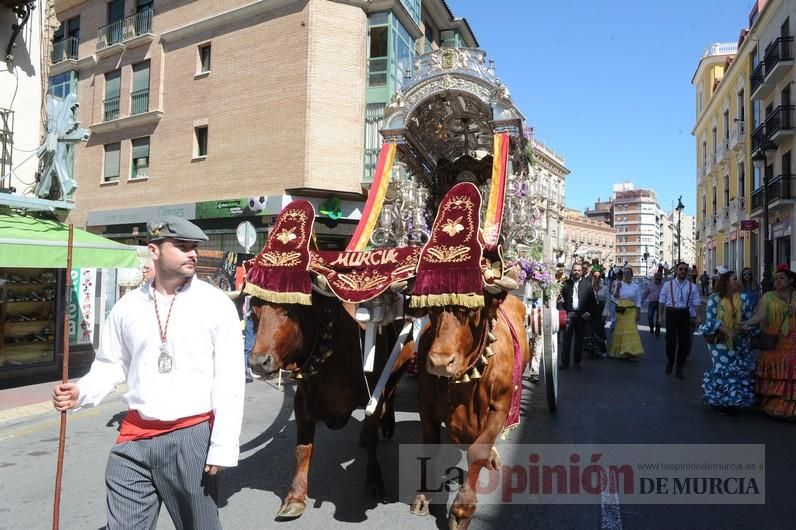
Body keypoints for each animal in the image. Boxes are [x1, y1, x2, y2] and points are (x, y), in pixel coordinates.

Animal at [247, 292, 410, 520]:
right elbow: (303, 449)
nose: (258, 362)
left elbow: (372, 438)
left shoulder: (372, 394)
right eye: (253, 308)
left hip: (400, 366)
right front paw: (295, 497)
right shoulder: (302, 403)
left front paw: (374, 480)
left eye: (290, 309)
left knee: (390, 394)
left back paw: (387, 425)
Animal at [410, 290, 528, 524]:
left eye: (473, 311)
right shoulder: (425, 403)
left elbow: (478, 450)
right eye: (432, 309)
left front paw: (462, 509)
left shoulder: (500, 408)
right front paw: (424, 496)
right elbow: (429, 446)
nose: (439, 362)